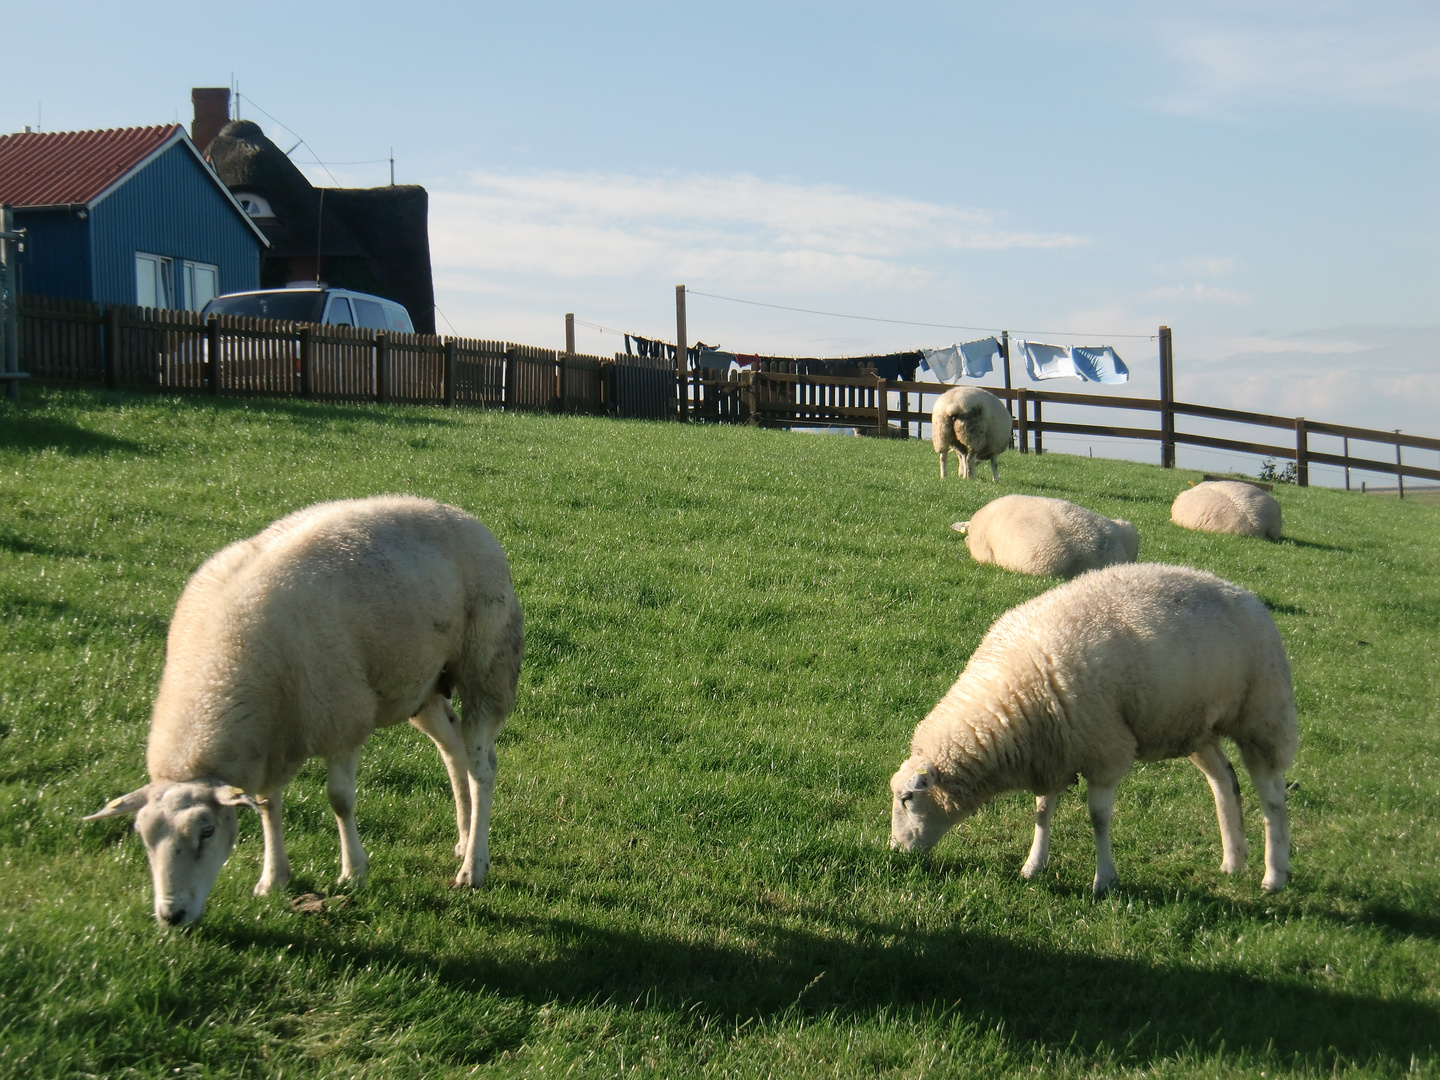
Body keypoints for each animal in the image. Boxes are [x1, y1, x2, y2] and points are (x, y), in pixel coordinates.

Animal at [84, 498, 527, 933]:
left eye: (206, 831)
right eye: (142, 836)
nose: (171, 916)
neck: (221, 679)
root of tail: (460, 514)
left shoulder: (343, 716)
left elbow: (340, 800)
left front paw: (353, 873)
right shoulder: (271, 741)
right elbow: (267, 805)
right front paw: (273, 878)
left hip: (485, 665)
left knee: (482, 767)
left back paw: (473, 866)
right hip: (421, 683)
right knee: (452, 748)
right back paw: (463, 837)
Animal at [881, 561, 1301, 898]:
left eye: (907, 798)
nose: (895, 851)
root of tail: (1245, 594)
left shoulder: (1105, 751)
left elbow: (1098, 819)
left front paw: (1105, 881)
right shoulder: (1052, 752)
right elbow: (1042, 810)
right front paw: (1033, 865)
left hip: (1263, 713)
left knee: (1273, 796)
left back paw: (1274, 876)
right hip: (1194, 726)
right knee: (1224, 781)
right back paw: (1233, 861)